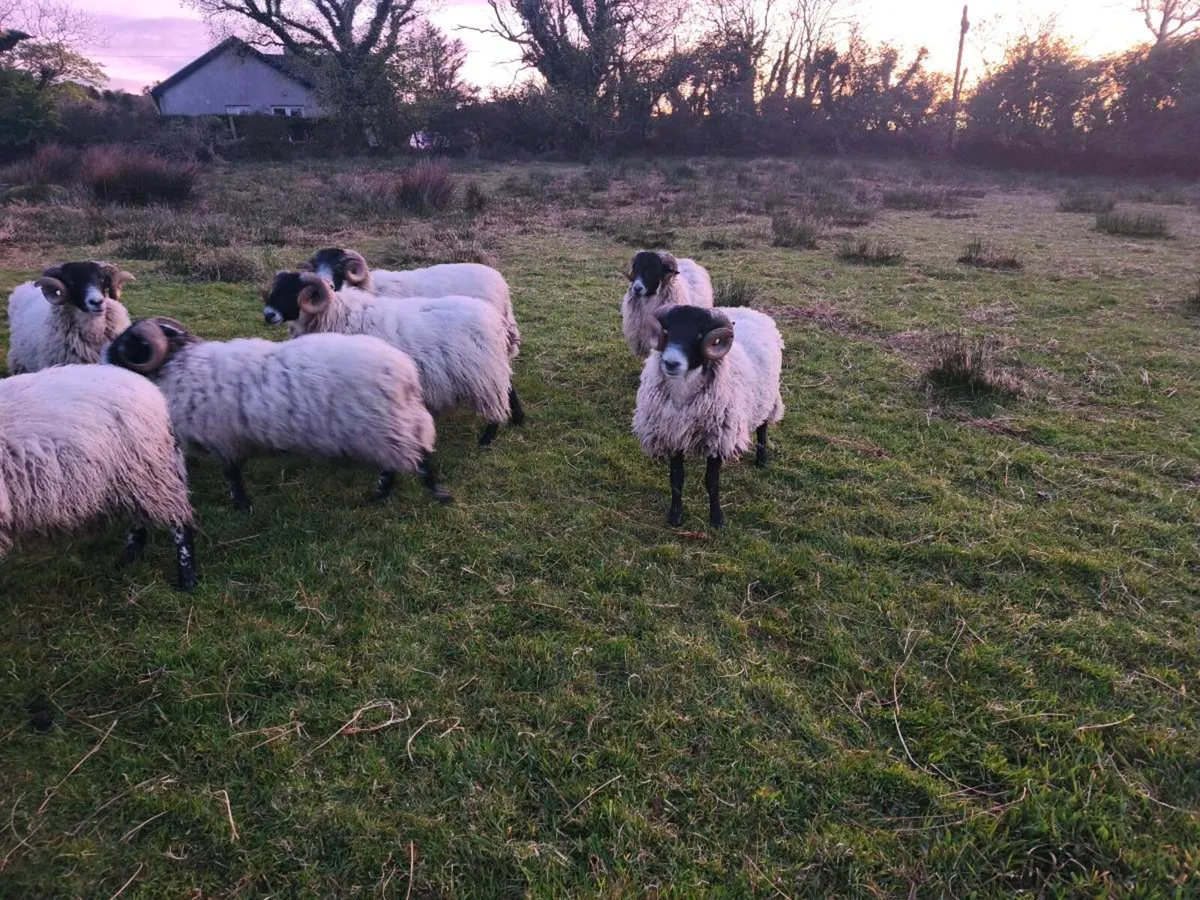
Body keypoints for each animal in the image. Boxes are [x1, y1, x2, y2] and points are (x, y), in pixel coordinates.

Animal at [0, 364, 196, 591]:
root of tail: (153, 391)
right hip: (136, 475)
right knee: (141, 518)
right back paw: (128, 560)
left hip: (152, 469)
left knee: (179, 522)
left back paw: (187, 581)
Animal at [104, 317, 452, 512]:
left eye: (128, 345)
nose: (103, 362)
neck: (179, 366)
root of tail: (406, 373)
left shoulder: (223, 440)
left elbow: (232, 475)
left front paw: (242, 507)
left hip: (386, 429)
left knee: (408, 460)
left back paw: (400, 494)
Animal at [263, 272, 525, 447]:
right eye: (276, 289)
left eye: (294, 291)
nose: (267, 315)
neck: (339, 315)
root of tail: (495, 320)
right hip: (491, 366)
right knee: (508, 385)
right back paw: (517, 418)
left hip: (484, 375)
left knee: (497, 401)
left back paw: (487, 438)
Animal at [632, 304, 784, 529]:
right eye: (667, 331)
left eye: (699, 335)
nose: (670, 363)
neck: (682, 396)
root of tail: (748, 309)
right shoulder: (673, 435)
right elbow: (676, 479)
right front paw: (675, 516)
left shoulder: (718, 440)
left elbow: (712, 482)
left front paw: (716, 518)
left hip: (766, 396)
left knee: (763, 426)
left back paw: (761, 459)